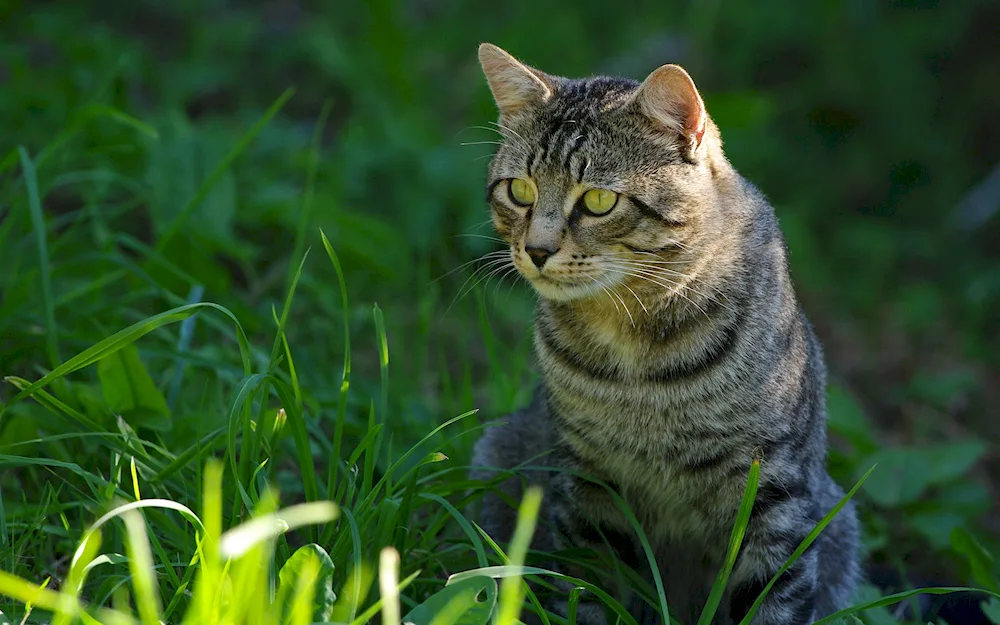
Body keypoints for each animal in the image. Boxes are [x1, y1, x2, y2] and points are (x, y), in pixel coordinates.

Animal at [466, 44, 860, 624]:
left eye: (599, 201)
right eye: (519, 191)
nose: (536, 250)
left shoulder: (774, 492)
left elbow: (773, 601)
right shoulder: (587, 483)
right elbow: (591, 590)